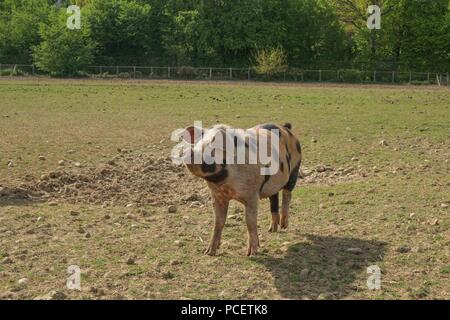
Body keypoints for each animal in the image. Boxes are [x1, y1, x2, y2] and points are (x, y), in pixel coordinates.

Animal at [179, 124, 302, 256]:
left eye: (215, 145)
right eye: (198, 141)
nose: (189, 152)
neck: (226, 182)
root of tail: (286, 127)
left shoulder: (253, 194)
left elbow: (250, 221)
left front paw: (251, 253)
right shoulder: (217, 196)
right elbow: (218, 222)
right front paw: (208, 252)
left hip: (294, 169)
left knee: (287, 194)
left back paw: (284, 225)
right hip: (272, 183)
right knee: (274, 199)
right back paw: (272, 230)